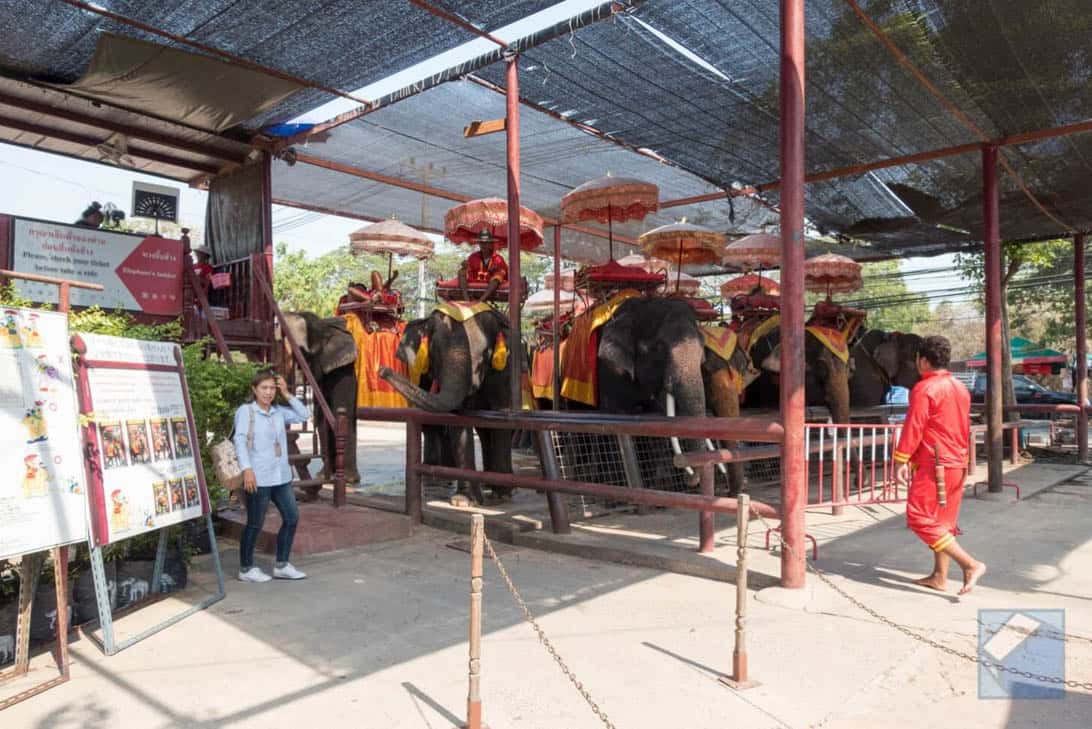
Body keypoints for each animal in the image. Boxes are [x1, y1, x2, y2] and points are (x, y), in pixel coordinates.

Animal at [281, 312, 358, 486]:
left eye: (303, 353)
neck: (324, 326)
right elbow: (321, 417)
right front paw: (323, 477)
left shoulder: (343, 369)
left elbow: (339, 412)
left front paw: (344, 479)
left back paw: (350, 479)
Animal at [382, 305, 517, 504]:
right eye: (435, 353)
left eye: (484, 354)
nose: (382, 370)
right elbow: (458, 419)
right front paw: (464, 501)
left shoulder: (504, 370)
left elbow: (501, 415)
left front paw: (502, 496)